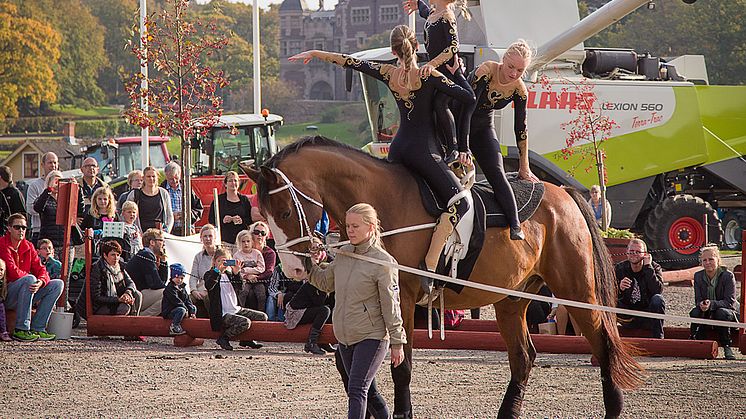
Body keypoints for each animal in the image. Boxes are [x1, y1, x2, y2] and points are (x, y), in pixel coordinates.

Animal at [243, 138, 640, 419]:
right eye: (265, 215)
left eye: (283, 211)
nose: (294, 270)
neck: (384, 204)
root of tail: (566, 195)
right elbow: (347, 361)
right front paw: (379, 407)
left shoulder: (401, 299)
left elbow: (401, 365)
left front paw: (401, 412)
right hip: (512, 301)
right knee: (523, 358)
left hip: (577, 291)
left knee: (602, 343)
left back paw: (613, 408)